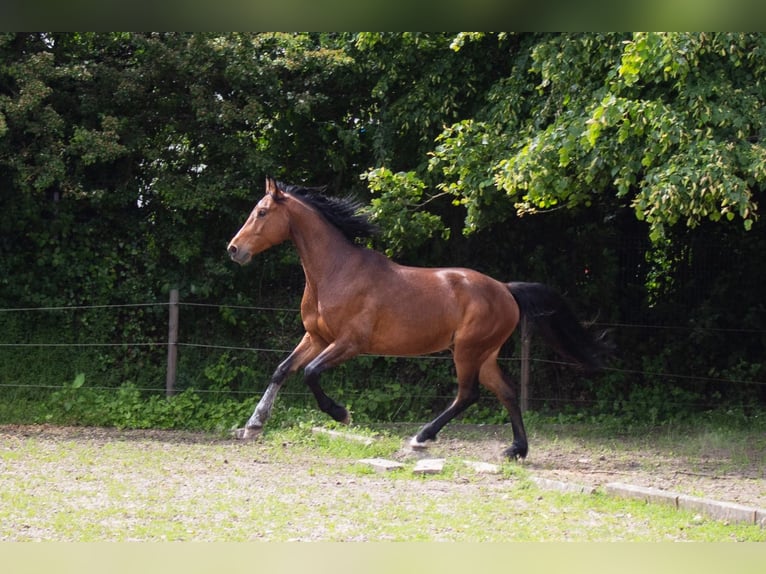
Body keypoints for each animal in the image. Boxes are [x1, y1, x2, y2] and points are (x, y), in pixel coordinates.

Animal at [228, 178, 612, 462]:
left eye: (261, 212)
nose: (234, 250)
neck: (336, 272)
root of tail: (505, 289)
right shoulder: (316, 338)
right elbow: (282, 370)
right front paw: (253, 425)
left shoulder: (349, 343)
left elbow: (310, 373)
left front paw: (341, 414)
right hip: (485, 353)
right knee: (505, 391)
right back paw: (517, 450)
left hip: (468, 351)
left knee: (468, 394)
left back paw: (422, 437)